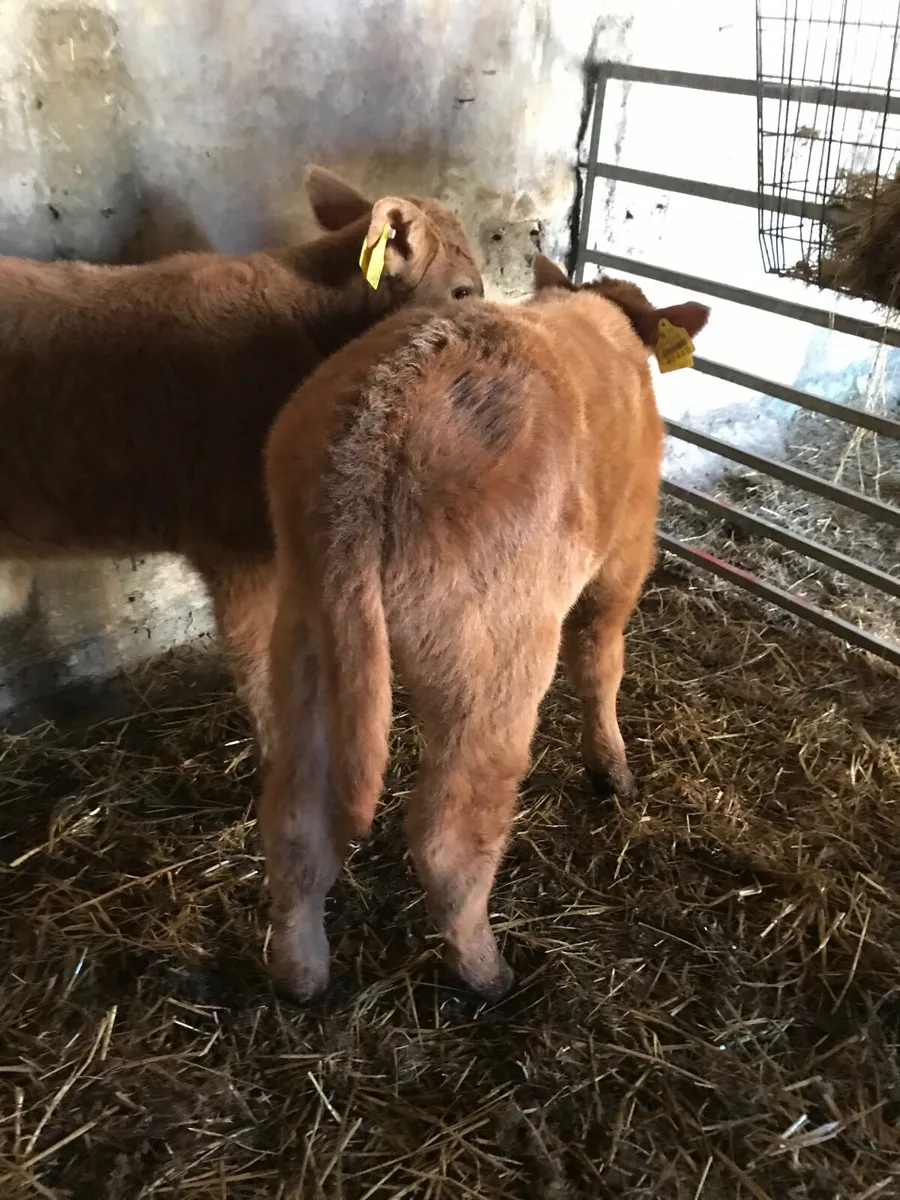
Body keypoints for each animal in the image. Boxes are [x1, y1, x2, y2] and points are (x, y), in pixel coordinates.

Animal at [260, 254, 710, 1002]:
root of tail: (376, 427)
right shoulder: (626, 553)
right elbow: (601, 659)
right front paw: (612, 770)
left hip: (302, 625)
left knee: (296, 821)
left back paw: (301, 974)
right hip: (493, 651)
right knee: (449, 831)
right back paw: (487, 971)